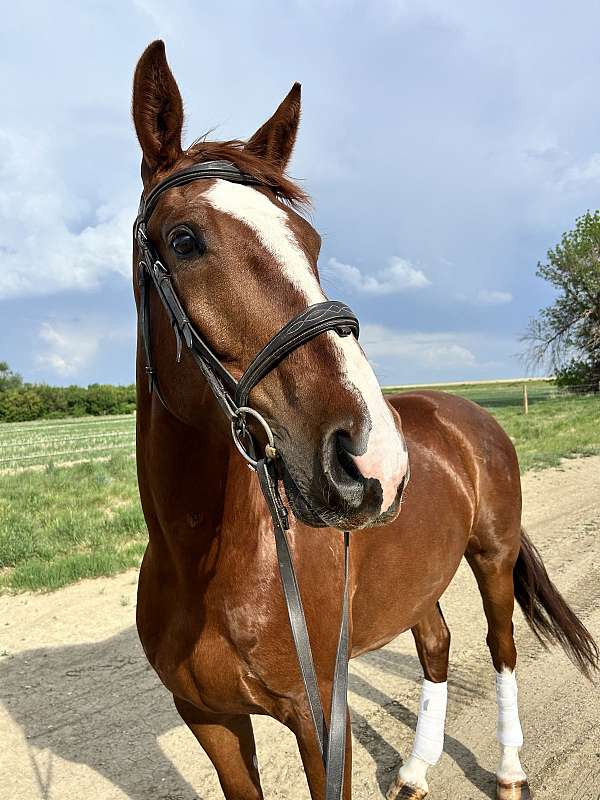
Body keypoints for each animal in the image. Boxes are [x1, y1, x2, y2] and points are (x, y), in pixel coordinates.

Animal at [131, 40, 598, 800]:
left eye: (311, 240)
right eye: (185, 238)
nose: (372, 458)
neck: (207, 564)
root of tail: (468, 416)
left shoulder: (321, 716)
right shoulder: (209, 720)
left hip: (492, 558)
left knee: (501, 648)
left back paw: (510, 771)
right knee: (436, 646)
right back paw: (413, 772)